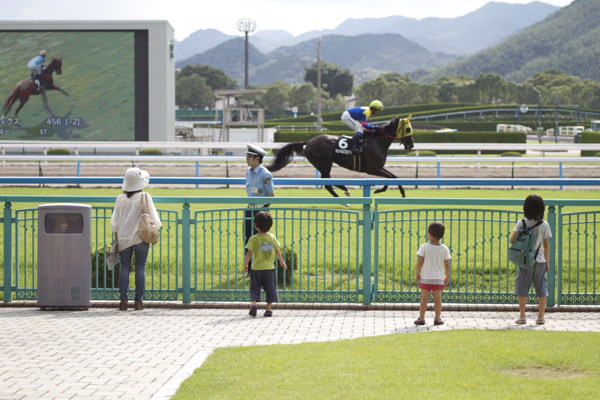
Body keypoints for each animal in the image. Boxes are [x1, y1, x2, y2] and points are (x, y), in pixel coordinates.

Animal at [268, 115, 414, 197]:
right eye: (408, 129)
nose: (411, 145)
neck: (376, 141)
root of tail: (308, 142)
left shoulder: (378, 167)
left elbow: (394, 177)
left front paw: (403, 193)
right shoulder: (371, 169)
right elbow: (389, 177)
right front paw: (378, 190)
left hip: (323, 165)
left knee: (328, 182)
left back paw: (344, 189)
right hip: (325, 163)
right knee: (327, 183)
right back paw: (344, 197)